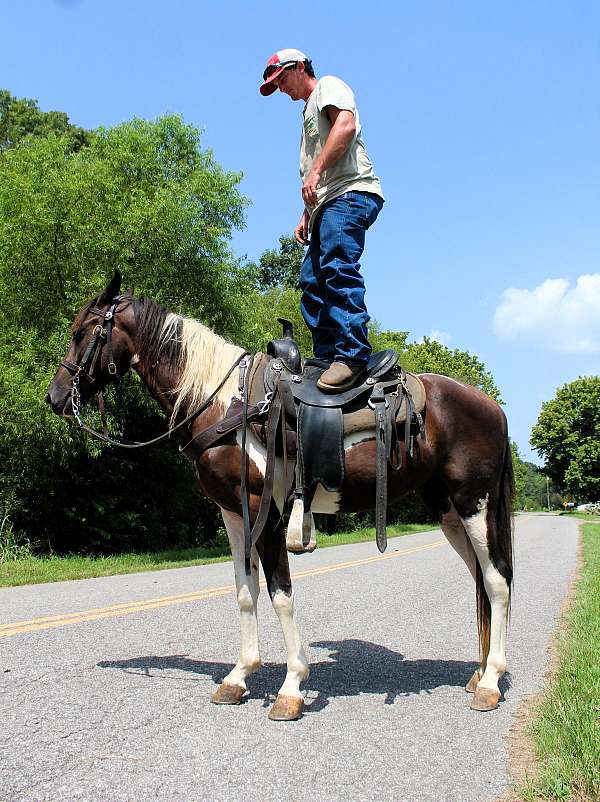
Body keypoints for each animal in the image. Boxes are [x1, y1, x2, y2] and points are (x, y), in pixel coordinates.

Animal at [46, 271, 514, 721]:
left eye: (84, 331)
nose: (54, 397)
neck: (225, 405)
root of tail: (490, 404)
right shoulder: (234, 515)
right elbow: (245, 590)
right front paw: (238, 677)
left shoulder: (264, 511)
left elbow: (281, 594)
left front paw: (291, 688)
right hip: (447, 509)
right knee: (480, 577)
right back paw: (477, 674)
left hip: (474, 501)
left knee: (497, 579)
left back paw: (491, 682)